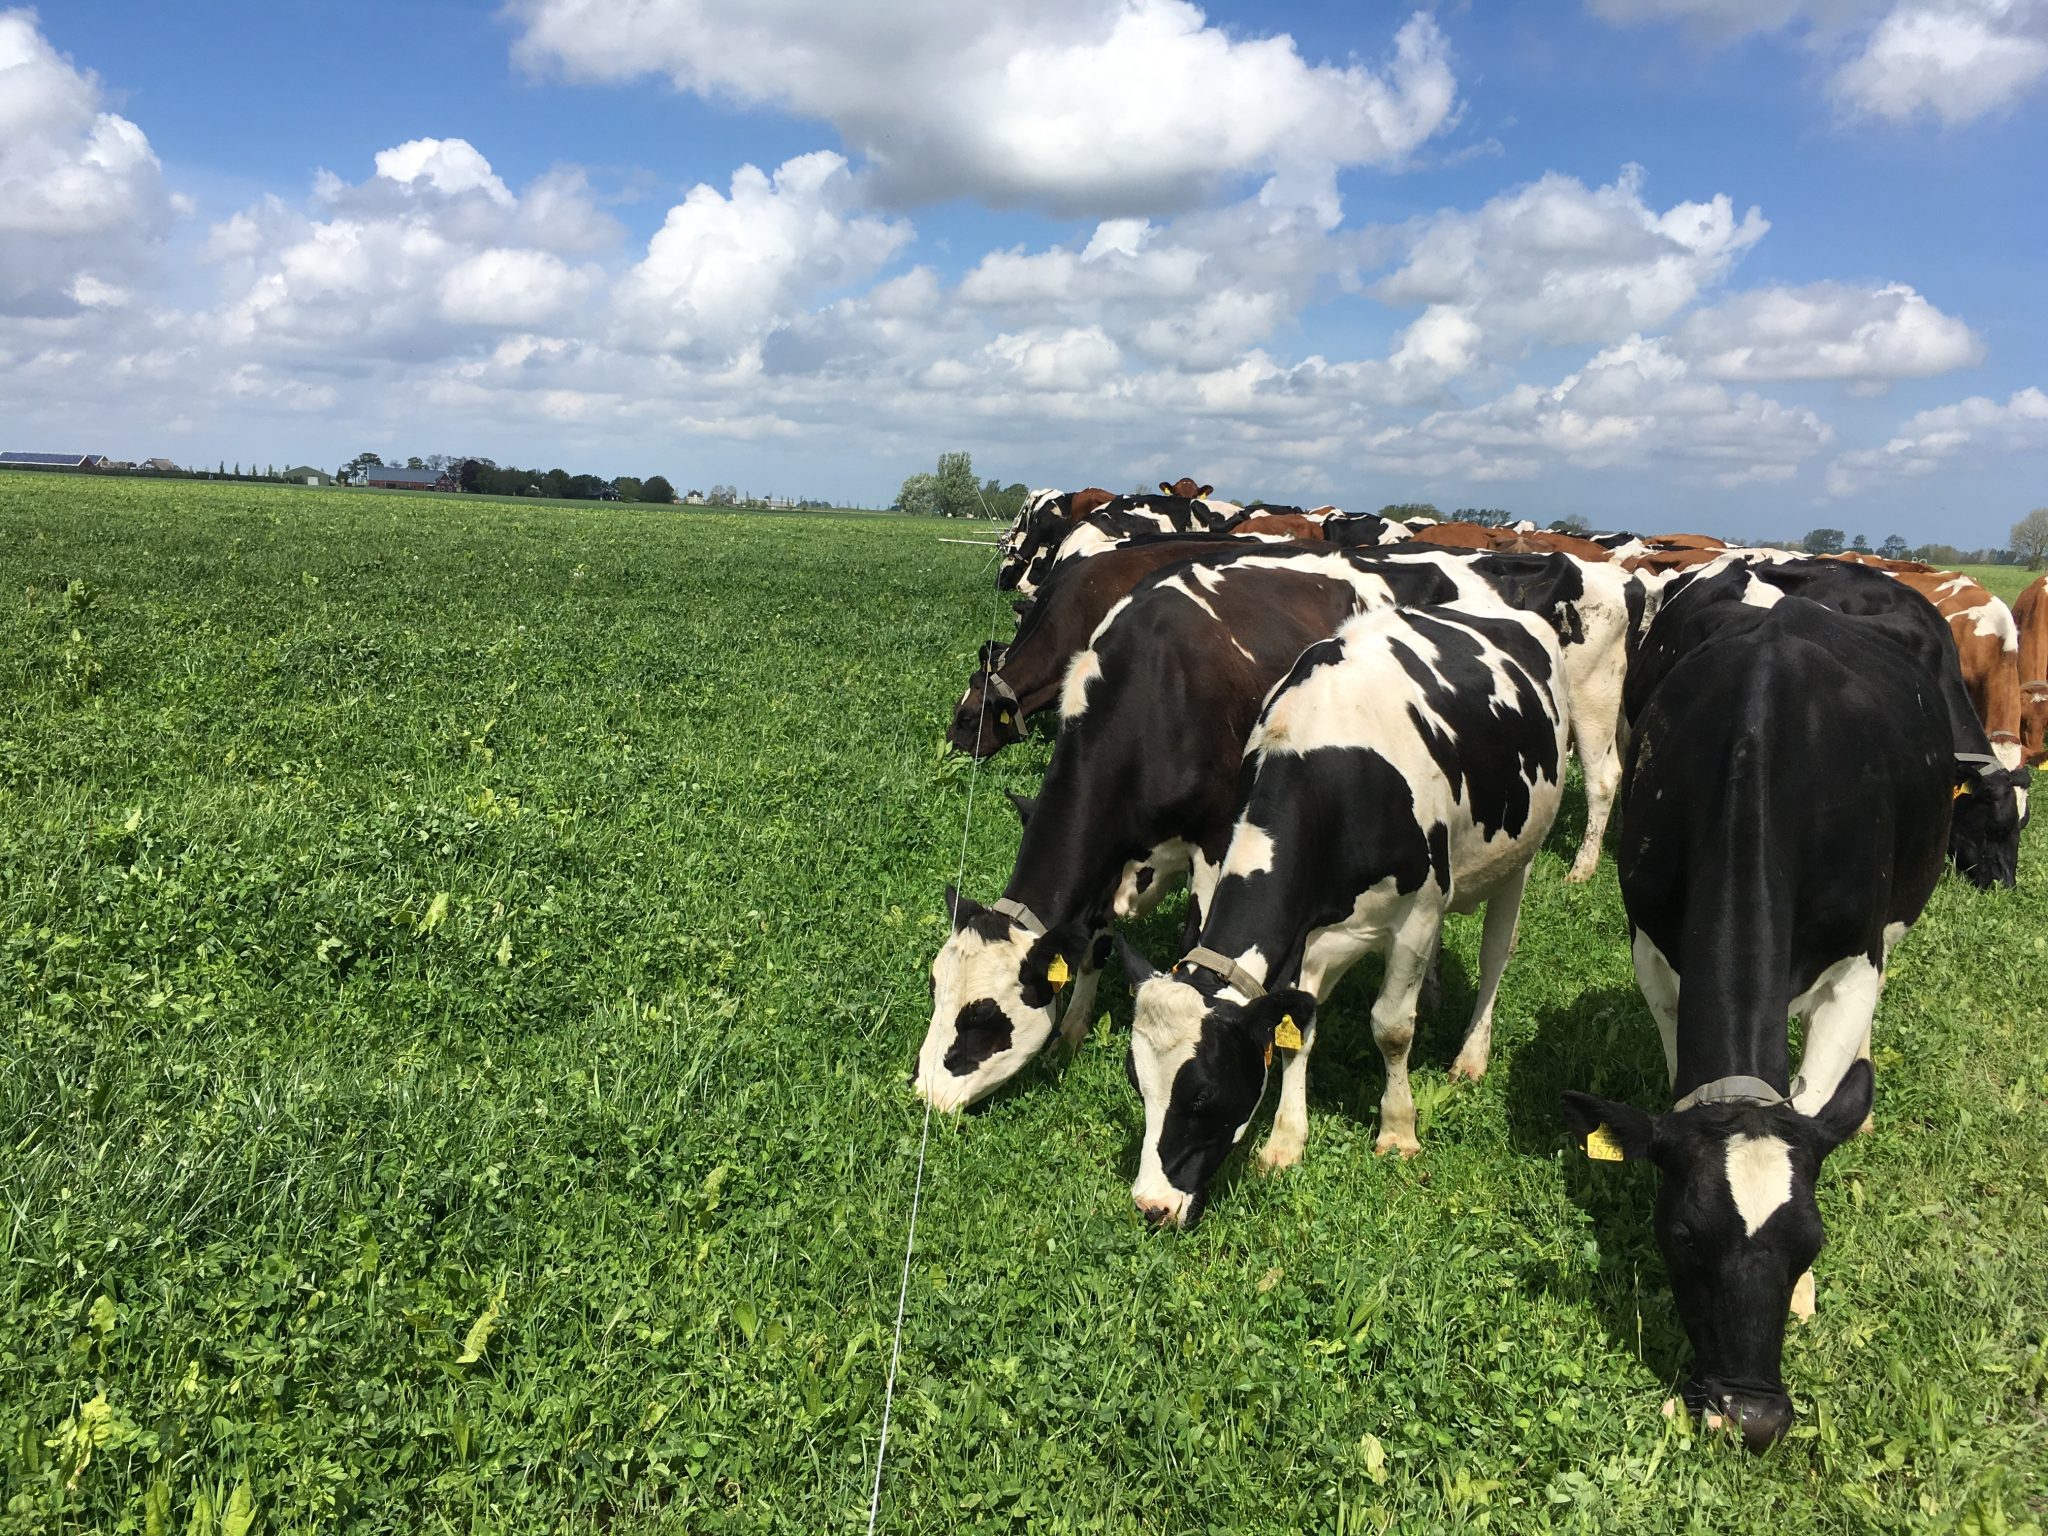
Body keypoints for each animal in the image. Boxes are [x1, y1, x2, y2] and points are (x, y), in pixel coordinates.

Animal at [1120, 597, 1569, 1226]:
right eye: (1138, 1084)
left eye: (1202, 1093)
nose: (1151, 1205)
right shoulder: (1305, 936)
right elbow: (1297, 1030)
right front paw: (1285, 1141)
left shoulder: (1417, 912)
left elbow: (1392, 1028)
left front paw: (1398, 1131)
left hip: (1519, 856)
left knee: (1495, 956)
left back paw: (1471, 1055)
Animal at [1562, 596, 1951, 1452]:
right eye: (1683, 1237)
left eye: (1814, 1240)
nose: (1753, 1416)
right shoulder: (1653, 945)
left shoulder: (1858, 960)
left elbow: (1818, 1096)